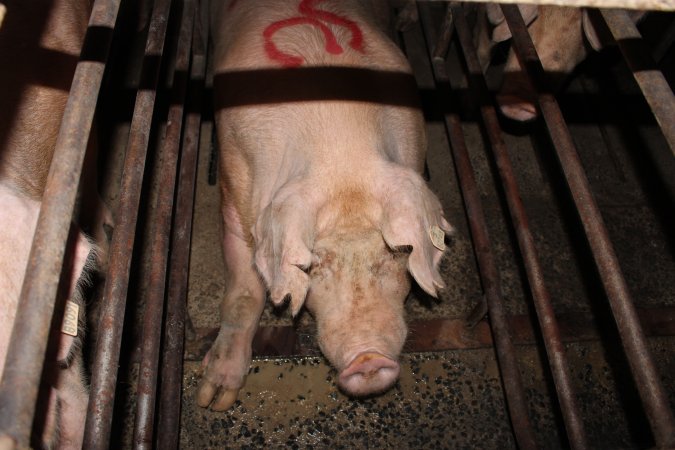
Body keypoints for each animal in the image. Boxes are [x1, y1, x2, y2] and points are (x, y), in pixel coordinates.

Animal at [197, 0, 454, 410]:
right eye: (314, 263)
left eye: (395, 252)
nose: (369, 360)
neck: (340, 151)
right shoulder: (234, 185)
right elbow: (244, 292)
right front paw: (214, 399)